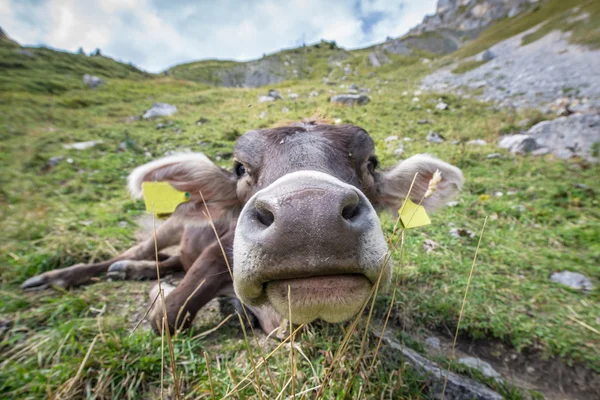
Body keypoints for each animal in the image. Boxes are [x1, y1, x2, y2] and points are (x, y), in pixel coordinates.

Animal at [22, 121, 464, 334]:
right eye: (239, 168)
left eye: (371, 162)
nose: (310, 217)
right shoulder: (217, 253)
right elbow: (166, 315)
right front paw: (160, 295)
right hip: (169, 227)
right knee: (135, 253)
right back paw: (67, 275)